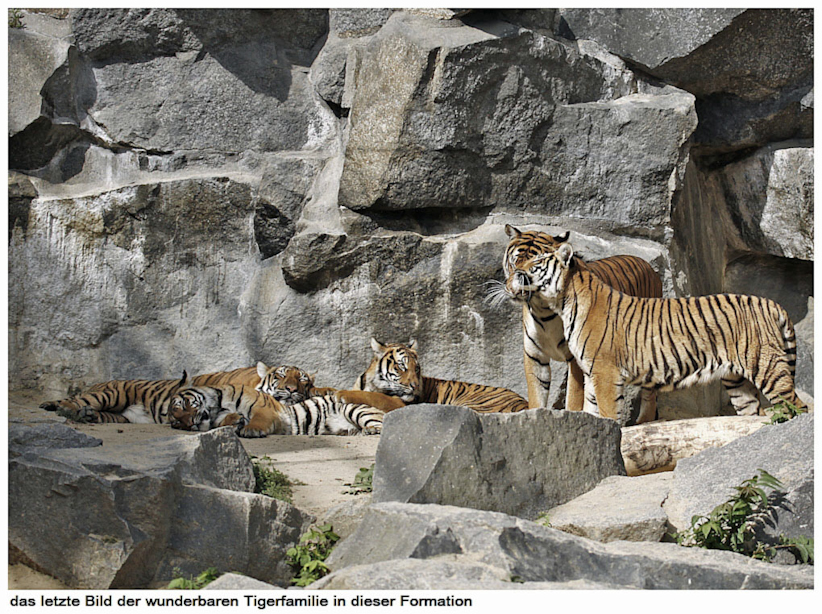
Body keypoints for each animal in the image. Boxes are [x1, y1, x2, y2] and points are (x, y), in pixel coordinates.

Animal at [489, 225, 664, 423]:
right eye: (513, 263)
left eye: (536, 269)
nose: (514, 290)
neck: (543, 310)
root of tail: (648, 266)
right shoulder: (535, 355)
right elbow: (536, 396)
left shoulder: (577, 359)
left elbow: (573, 398)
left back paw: (644, 420)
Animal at [510, 241, 806, 420]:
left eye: (534, 264)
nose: (514, 274)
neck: (563, 303)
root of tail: (772, 303)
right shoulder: (593, 374)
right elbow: (593, 412)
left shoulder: (605, 373)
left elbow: (607, 413)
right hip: (737, 380)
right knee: (752, 412)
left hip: (767, 366)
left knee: (797, 406)